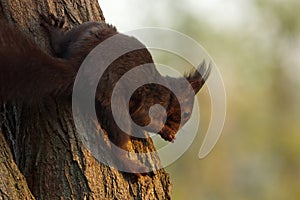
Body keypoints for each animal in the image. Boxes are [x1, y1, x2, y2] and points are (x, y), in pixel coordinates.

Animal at [0, 14, 211, 173]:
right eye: (186, 113)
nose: (176, 131)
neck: (168, 93)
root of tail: (79, 67)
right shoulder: (152, 101)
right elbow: (145, 120)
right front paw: (166, 132)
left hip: (90, 30)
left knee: (61, 45)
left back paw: (56, 32)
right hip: (114, 100)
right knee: (119, 139)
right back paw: (130, 165)